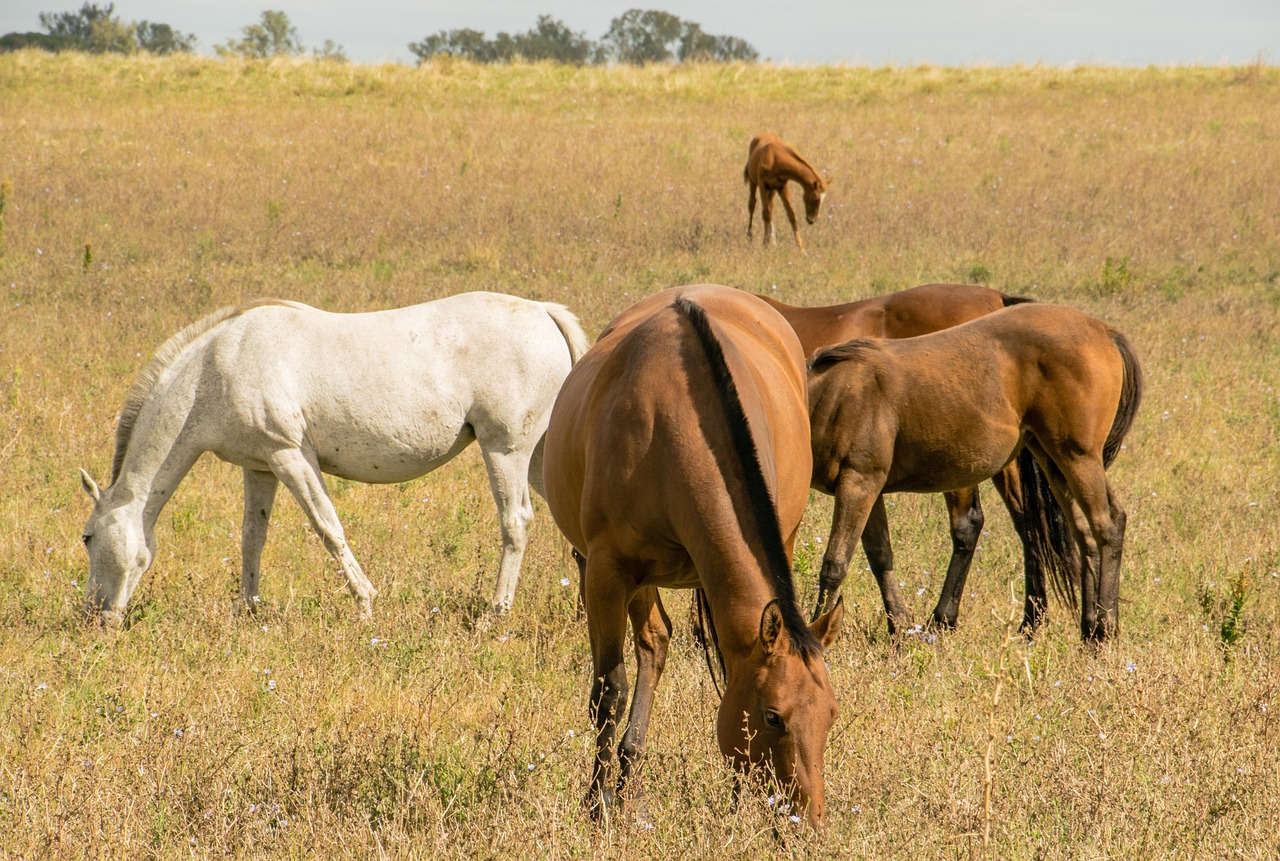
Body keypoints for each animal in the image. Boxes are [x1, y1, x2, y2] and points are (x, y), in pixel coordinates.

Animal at [79, 291, 590, 625]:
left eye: (87, 537)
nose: (94, 617)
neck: (216, 366)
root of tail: (545, 312)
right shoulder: (259, 466)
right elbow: (251, 538)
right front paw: (247, 611)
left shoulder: (290, 456)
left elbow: (328, 528)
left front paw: (365, 605)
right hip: (539, 458)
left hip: (506, 450)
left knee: (516, 522)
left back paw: (493, 616)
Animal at [543, 284, 844, 827]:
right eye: (774, 716)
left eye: (831, 713)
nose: (806, 822)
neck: (673, 421)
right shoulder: (607, 571)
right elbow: (608, 689)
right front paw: (596, 806)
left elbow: (725, 671)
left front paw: (735, 798)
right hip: (631, 575)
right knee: (650, 645)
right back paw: (621, 785)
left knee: (657, 642)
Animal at [757, 283, 1052, 634]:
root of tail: (996, 298)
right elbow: (878, 553)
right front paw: (898, 625)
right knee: (1027, 521)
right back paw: (1031, 618)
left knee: (969, 526)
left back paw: (948, 618)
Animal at [806, 302, 1142, 642]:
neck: (833, 396)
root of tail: (1104, 330)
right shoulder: (869, 489)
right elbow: (880, 556)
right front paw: (899, 628)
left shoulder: (859, 483)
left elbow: (835, 563)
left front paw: (816, 631)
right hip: (1054, 461)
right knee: (1084, 534)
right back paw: (1087, 627)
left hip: (1078, 457)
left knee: (1107, 525)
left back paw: (1103, 631)